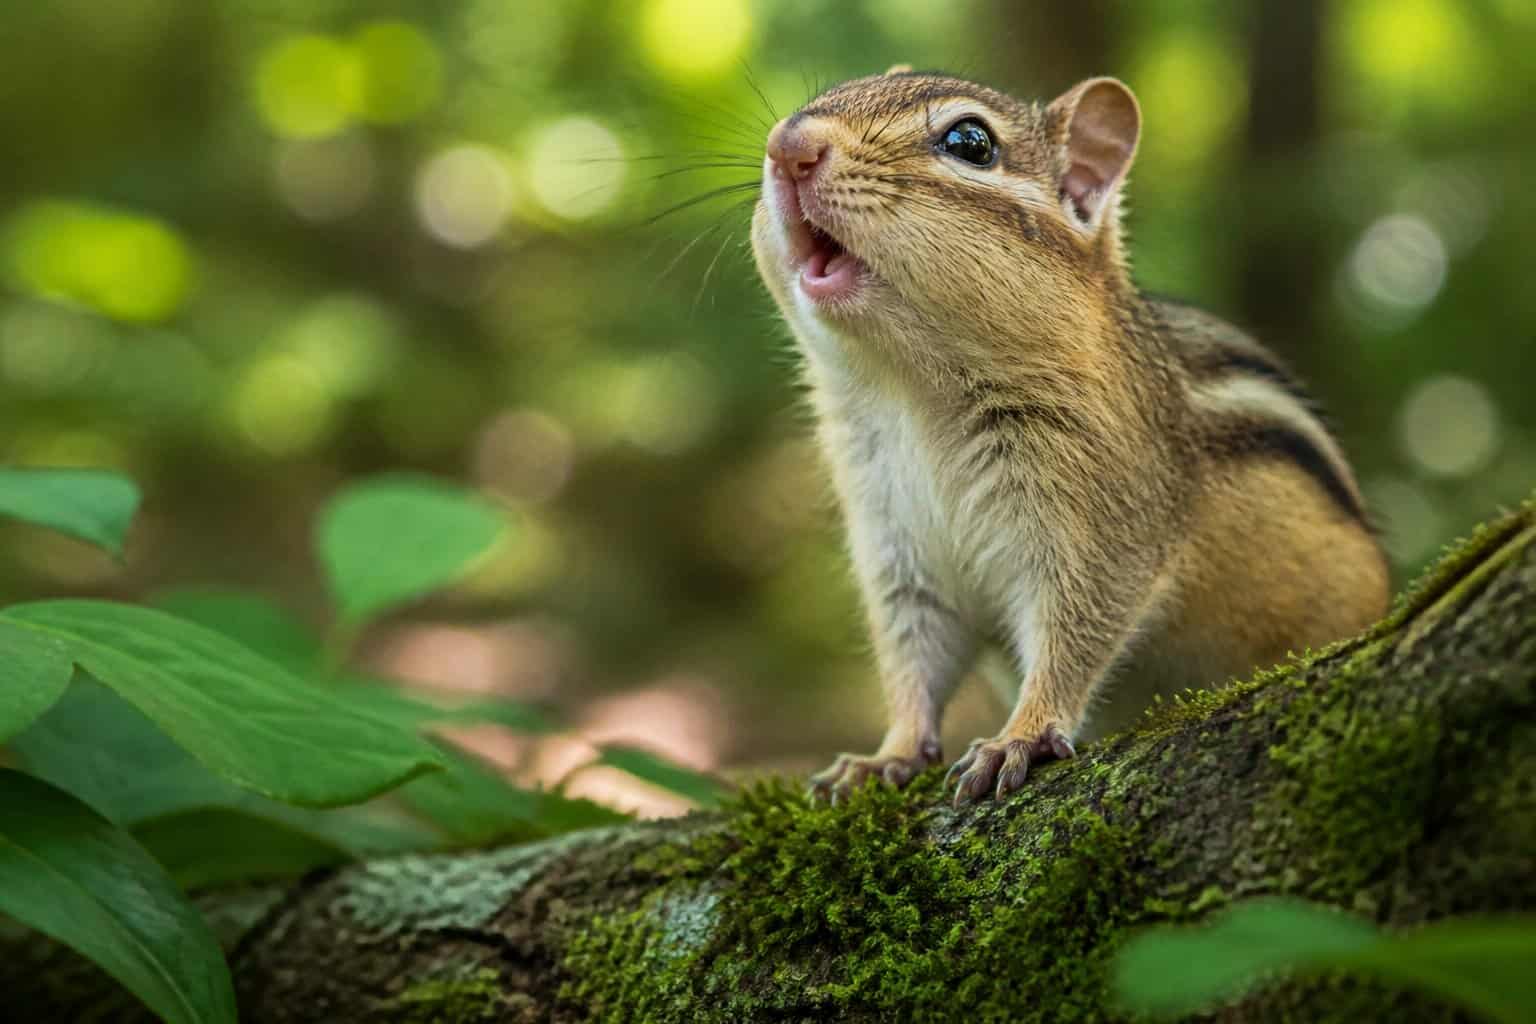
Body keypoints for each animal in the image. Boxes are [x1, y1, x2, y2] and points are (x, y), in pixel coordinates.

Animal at [747, 67, 1391, 806]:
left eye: (970, 143)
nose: (789, 146)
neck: (913, 394)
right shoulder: (895, 546)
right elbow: (913, 658)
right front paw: (889, 755)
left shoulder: (1104, 525)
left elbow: (1075, 632)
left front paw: (1019, 737)